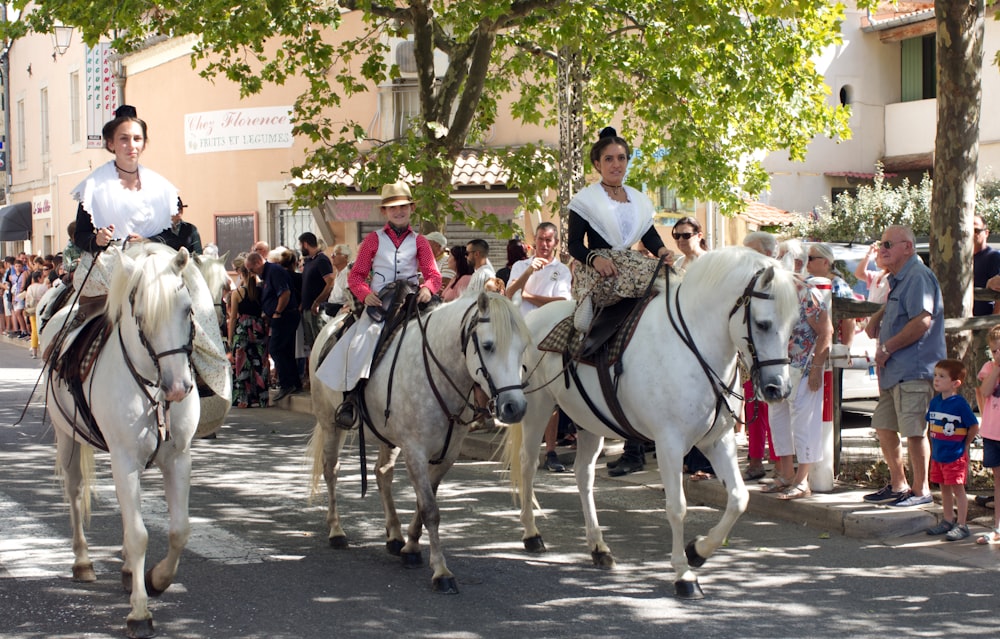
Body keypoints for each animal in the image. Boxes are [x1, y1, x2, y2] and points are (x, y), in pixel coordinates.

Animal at [41, 246, 201, 639]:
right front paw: (139, 613)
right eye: (141, 316)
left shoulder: (179, 458)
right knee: (75, 492)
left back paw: (129, 571)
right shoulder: (124, 460)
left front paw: (157, 579)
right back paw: (83, 562)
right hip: (67, 437)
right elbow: (140, 534)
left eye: (188, 309)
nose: (178, 388)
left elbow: (179, 530)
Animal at [308, 292, 532, 592]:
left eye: (522, 347)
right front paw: (441, 571)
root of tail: (330, 326)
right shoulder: (415, 452)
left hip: (386, 438)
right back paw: (336, 530)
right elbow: (430, 510)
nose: (514, 408)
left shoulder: (447, 454)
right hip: (330, 423)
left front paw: (411, 547)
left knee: (382, 474)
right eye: (488, 345)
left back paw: (394, 535)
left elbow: (423, 503)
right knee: (331, 470)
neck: (440, 376)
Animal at [508, 249, 796, 600]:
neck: (695, 345)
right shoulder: (669, 443)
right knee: (528, 465)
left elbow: (739, 499)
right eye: (762, 323)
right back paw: (532, 534)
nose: (778, 389)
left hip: (589, 421)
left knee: (584, 476)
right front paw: (684, 574)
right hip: (537, 409)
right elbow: (677, 506)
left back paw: (598, 547)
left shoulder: (717, 440)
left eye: (793, 323)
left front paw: (697, 551)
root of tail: (533, 317)